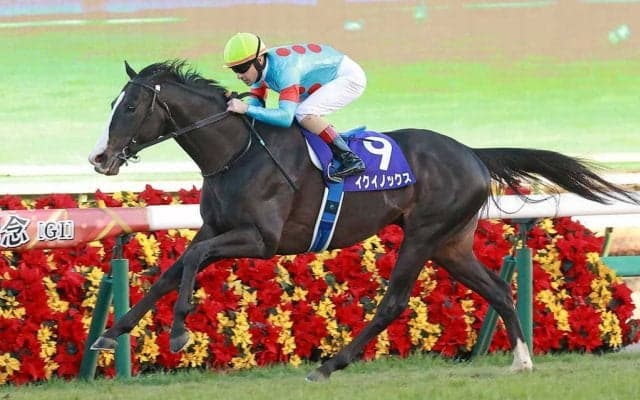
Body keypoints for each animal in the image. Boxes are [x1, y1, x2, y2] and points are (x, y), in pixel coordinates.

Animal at [88, 60, 637, 381]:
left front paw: (179, 334)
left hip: (423, 235)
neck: (238, 151)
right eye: (114, 102)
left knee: (393, 302)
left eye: (130, 106)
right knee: (498, 290)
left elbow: (193, 261)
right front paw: (110, 334)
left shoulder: (260, 239)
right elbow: (172, 271)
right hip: (451, 244)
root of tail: (472, 154)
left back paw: (331, 364)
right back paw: (522, 360)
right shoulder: (215, 228)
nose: (99, 158)